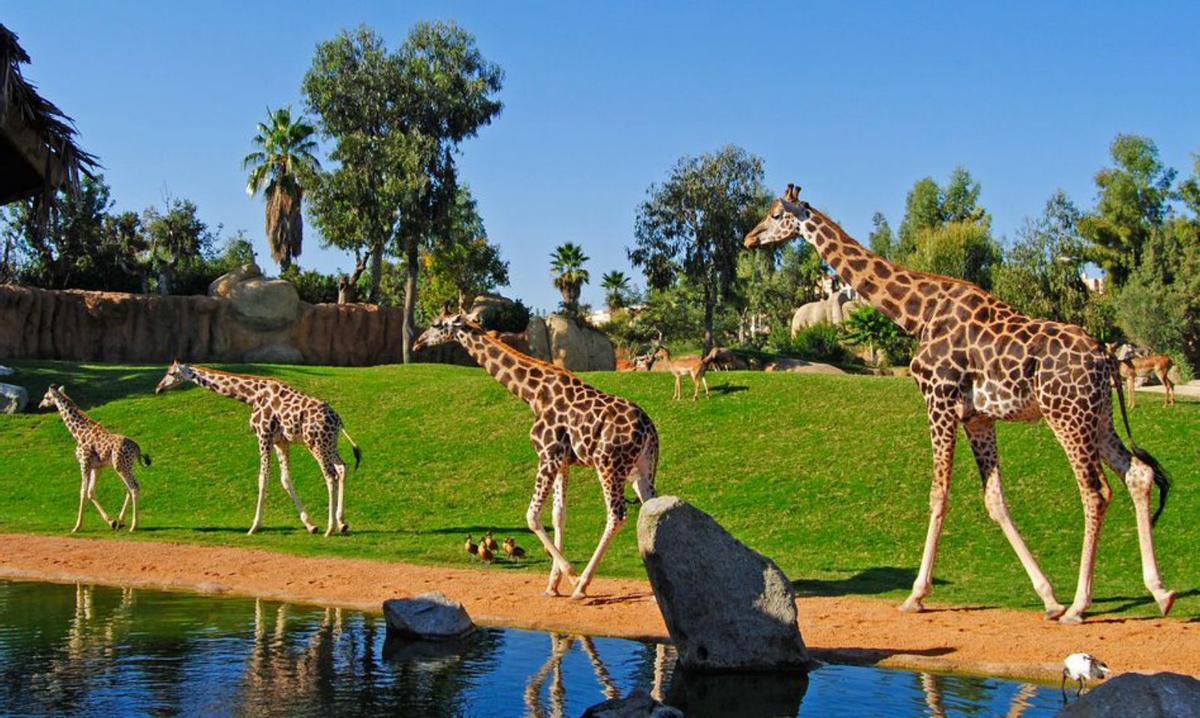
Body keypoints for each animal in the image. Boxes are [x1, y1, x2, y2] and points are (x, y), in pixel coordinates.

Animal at [38, 389, 146, 535]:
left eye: (46, 396)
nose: (40, 405)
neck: (79, 434)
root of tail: (137, 448)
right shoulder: (97, 467)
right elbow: (90, 491)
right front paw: (112, 522)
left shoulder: (84, 463)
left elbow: (83, 491)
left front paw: (77, 527)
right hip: (127, 466)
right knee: (130, 488)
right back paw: (121, 522)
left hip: (121, 466)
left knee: (133, 488)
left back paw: (133, 526)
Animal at [154, 362, 360, 537]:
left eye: (171, 373)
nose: (158, 388)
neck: (251, 396)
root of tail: (338, 421)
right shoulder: (280, 441)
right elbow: (285, 479)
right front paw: (310, 525)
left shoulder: (263, 435)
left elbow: (263, 479)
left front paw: (254, 526)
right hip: (329, 443)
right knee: (342, 467)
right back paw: (342, 523)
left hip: (315, 444)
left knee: (330, 475)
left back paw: (330, 528)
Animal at [410, 312, 657, 600]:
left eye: (437, 324)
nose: (417, 343)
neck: (532, 393)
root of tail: (650, 428)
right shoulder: (563, 461)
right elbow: (558, 515)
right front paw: (552, 585)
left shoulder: (547, 454)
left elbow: (532, 516)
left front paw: (571, 577)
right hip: (640, 469)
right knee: (651, 508)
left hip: (609, 465)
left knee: (617, 515)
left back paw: (582, 586)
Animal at [744, 184, 1176, 624]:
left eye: (776, 214)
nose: (748, 238)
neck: (918, 312)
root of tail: (1105, 356)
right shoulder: (978, 417)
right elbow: (995, 499)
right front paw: (1048, 597)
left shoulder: (938, 399)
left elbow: (939, 493)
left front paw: (916, 595)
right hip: (1098, 417)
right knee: (1138, 475)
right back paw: (1160, 592)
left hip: (1066, 415)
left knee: (1095, 491)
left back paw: (1080, 605)